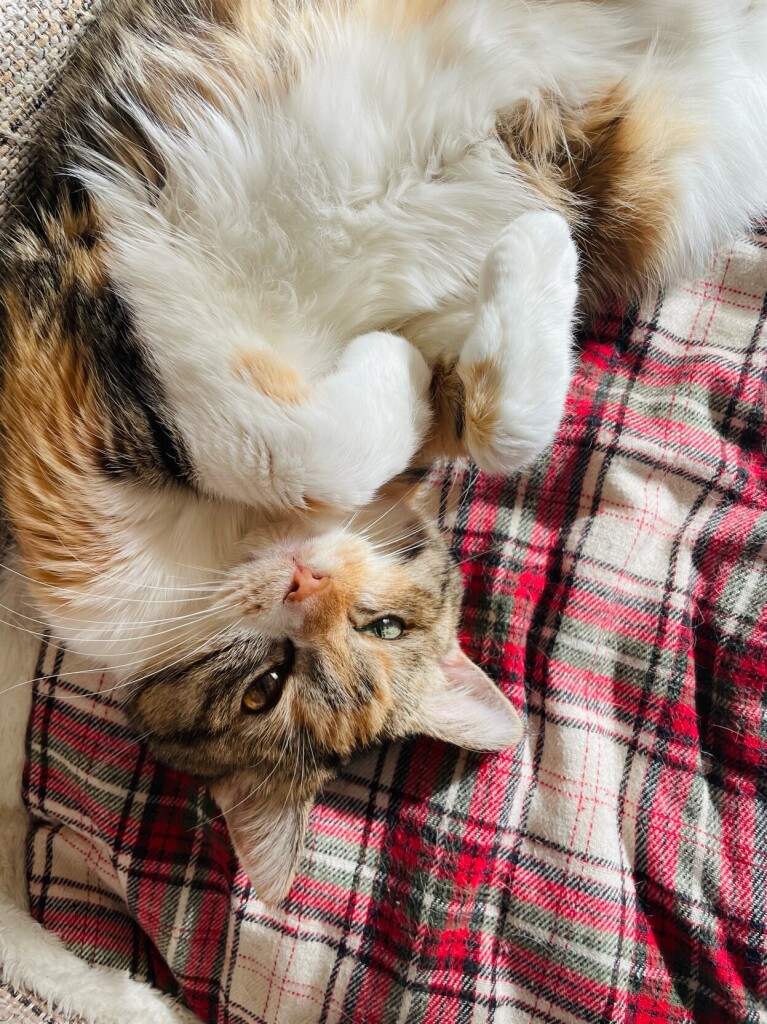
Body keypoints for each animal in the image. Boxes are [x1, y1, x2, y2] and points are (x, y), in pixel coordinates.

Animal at [0, 2, 761, 1015]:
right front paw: (481, 292)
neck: (218, 549)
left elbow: (494, 430)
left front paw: (528, 255)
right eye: (265, 688)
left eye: (384, 625)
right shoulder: (77, 403)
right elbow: (299, 444)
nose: (305, 581)